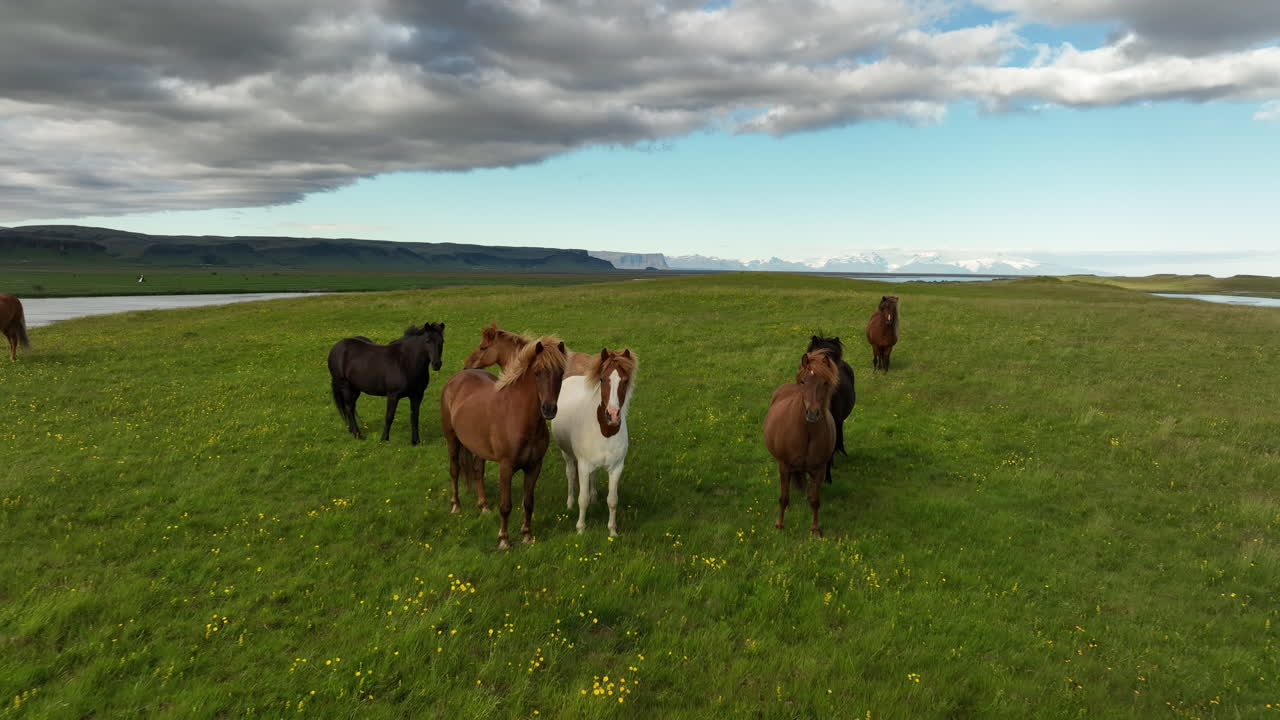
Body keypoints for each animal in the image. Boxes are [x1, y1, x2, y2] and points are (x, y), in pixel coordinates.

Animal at [440, 337, 567, 549]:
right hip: (452, 440)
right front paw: (503, 540)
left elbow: (528, 503)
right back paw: (456, 505)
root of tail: (457, 377)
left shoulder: (534, 467)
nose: (549, 409)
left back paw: (483, 506)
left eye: (560, 373)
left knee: (477, 471)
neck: (521, 419)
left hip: (478, 447)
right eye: (537, 372)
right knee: (454, 470)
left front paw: (526, 535)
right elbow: (506, 506)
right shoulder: (506, 467)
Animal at [552, 348, 638, 536]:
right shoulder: (583, 465)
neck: (605, 433)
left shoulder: (616, 468)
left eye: (625, 380)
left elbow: (612, 500)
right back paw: (570, 503)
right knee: (570, 474)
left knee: (594, 476)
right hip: (567, 454)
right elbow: (582, 499)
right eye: (602, 379)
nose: (612, 415)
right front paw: (580, 529)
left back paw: (594, 498)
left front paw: (612, 531)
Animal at [763, 350, 839, 537]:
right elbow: (783, 497)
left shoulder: (819, 469)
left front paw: (815, 529)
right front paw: (779, 525)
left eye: (825, 382)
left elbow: (815, 500)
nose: (812, 413)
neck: (806, 433)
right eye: (803, 381)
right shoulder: (784, 465)